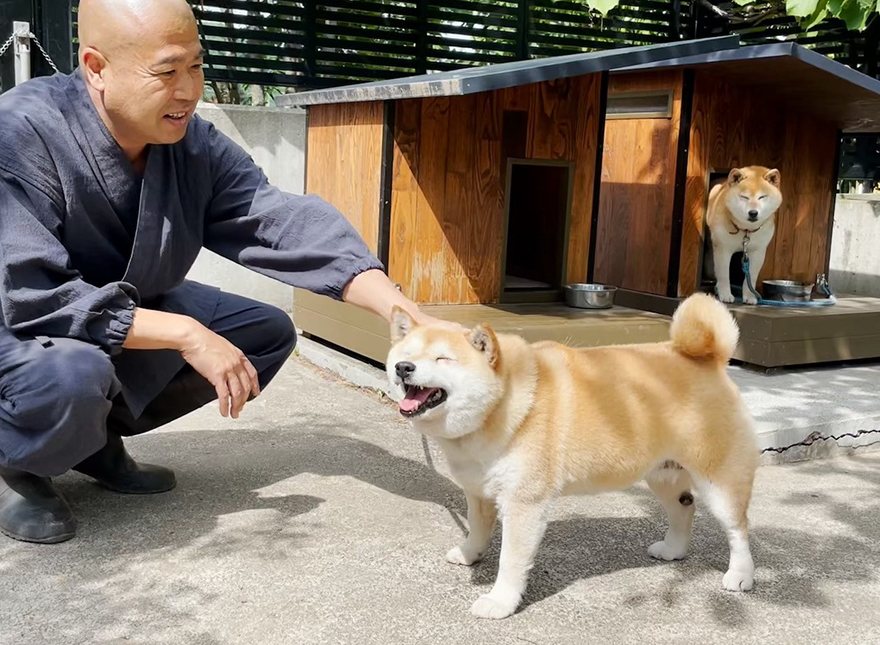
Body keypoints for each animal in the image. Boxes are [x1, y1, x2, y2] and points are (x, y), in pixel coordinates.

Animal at [388, 294, 760, 616]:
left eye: (442, 359)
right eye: (406, 353)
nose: (404, 368)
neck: (502, 403)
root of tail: (711, 358)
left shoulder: (524, 503)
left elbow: (511, 560)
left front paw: (500, 601)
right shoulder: (479, 491)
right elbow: (477, 530)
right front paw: (470, 554)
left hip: (719, 481)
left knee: (738, 529)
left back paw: (741, 575)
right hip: (663, 474)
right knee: (685, 507)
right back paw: (674, 550)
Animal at [708, 165, 784, 304]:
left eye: (762, 197)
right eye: (744, 197)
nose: (753, 212)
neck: (746, 230)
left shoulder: (758, 252)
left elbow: (751, 277)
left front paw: (750, 296)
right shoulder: (723, 248)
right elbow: (723, 274)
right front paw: (725, 294)